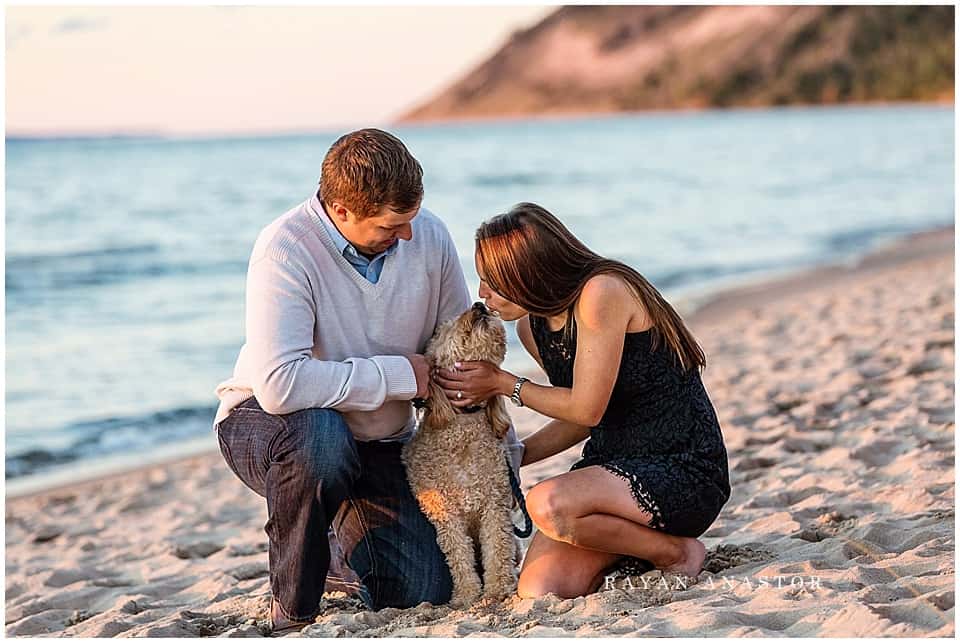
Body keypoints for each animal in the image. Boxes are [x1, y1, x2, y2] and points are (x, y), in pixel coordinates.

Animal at [398, 304, 516, 608]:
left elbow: (497, 549)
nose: (479, 305)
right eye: (442, 329)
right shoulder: (444, 512)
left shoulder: (494, 504)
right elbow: (460, 556)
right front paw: (466, 595)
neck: (463, 424)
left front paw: (496, 589)